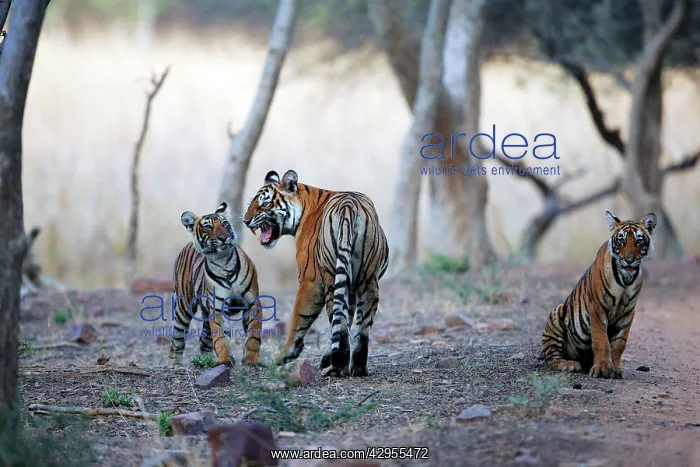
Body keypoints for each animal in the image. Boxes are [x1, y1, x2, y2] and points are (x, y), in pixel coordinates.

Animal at [169, 202, 263, 368]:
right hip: (183, 307)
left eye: (225, 224)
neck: (223, 261)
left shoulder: (253, 302)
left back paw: (205, 360)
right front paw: (225, 360)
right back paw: (175, 365)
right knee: (177, 339)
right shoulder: (218, 308)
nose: (224, 238)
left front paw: (251, 360)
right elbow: (220, 338)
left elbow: (253, 334)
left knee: (204, 340)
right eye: (208, 227)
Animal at [243, 169, 389, 377]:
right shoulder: (352, 286)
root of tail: (348, 207)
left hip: (330, 276)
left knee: (339, 322)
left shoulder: (309, 280)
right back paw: (357, 367)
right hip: (368, 279)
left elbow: (298, 318)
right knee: (361, 328)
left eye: (265, 204)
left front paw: (283, 355)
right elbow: (348, 318)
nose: (246, 221)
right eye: (252, 204)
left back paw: (336, 367)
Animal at [541, 210, 657, 379]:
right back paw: (569, 365)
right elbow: (601, 339)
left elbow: (619, 343)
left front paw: (615, 369)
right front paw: (602, 369)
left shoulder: (628, 311)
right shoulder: (597, 307)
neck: (626, 278)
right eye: (621, 241)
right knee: (552, 357)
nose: (629, 260)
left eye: (638, 241)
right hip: (556, 314)